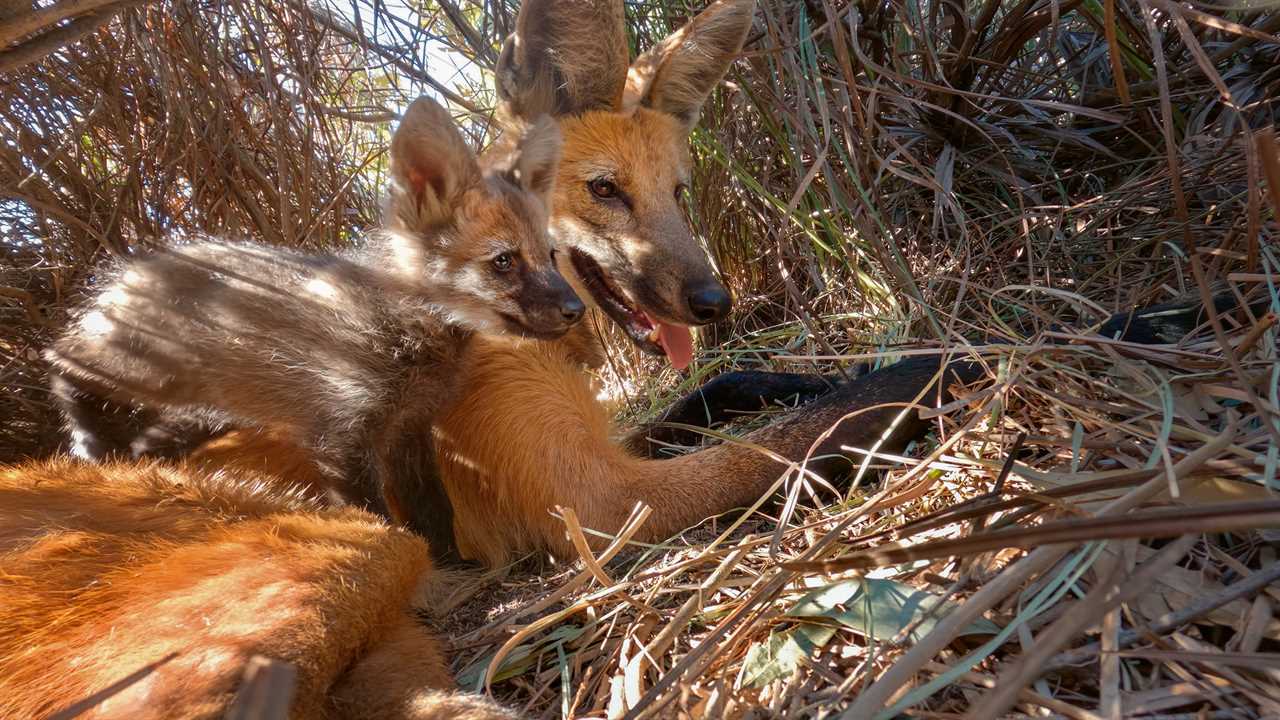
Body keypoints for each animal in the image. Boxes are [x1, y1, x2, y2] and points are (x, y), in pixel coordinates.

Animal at [41, 95, 581, 558]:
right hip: (141, 370)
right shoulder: (342, 435)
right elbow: (377, 518)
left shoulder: (408, 429)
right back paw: (88, 439)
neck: (408, 339)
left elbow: (434, 511)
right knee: (61, 361)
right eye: (504, 262)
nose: (576, 309)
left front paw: (454, 563)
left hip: (198, 409)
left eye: (550, 255)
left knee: (144, 438)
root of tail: (135, 263)